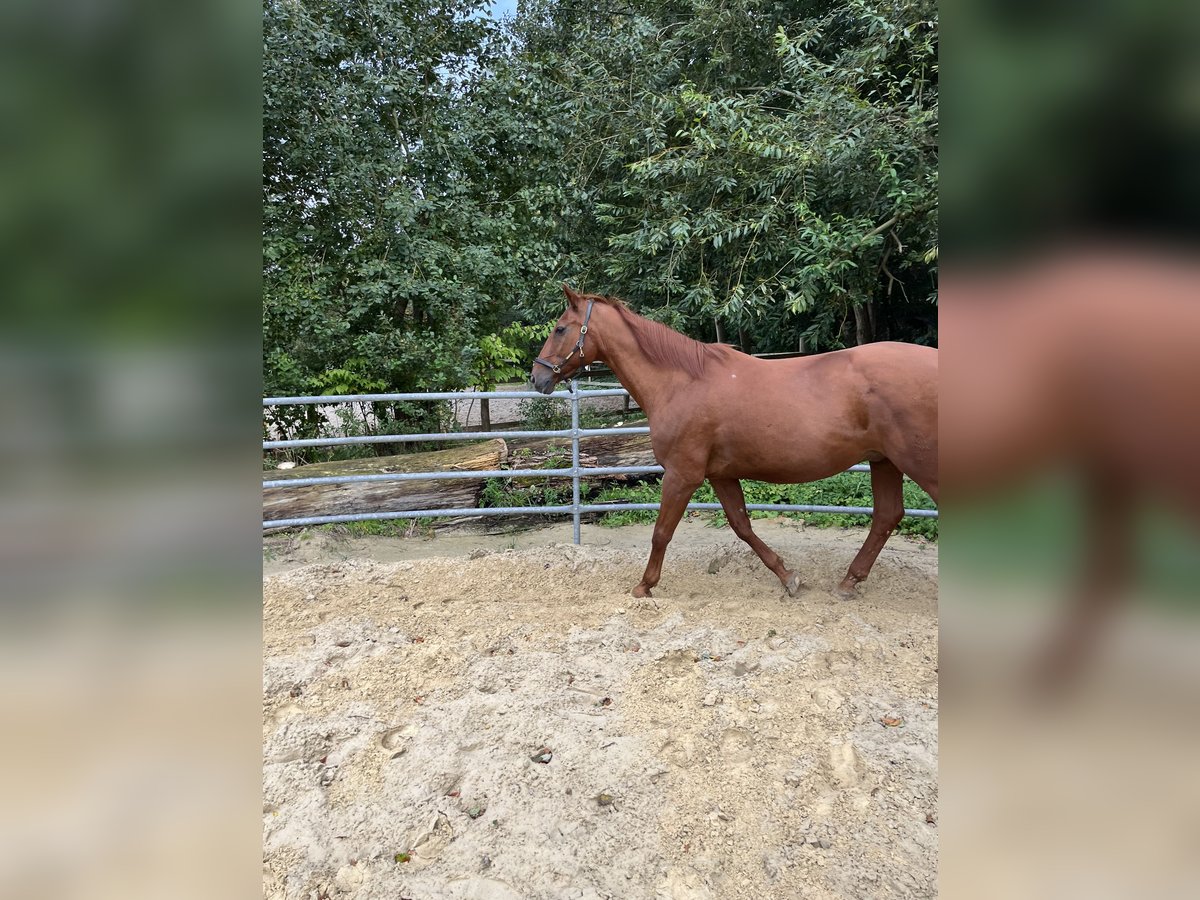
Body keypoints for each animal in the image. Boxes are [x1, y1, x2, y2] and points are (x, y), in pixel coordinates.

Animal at [532, 286, 936, 600]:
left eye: (560, 328)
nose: (537, 377)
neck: (681, 382)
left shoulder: (682, 475)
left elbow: (661, 532)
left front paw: (644, 586)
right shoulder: (720, 475)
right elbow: (742, 526)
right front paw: (789, 578)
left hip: (917, 464)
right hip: (884, 461)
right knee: (887, 516)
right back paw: (849, 581)